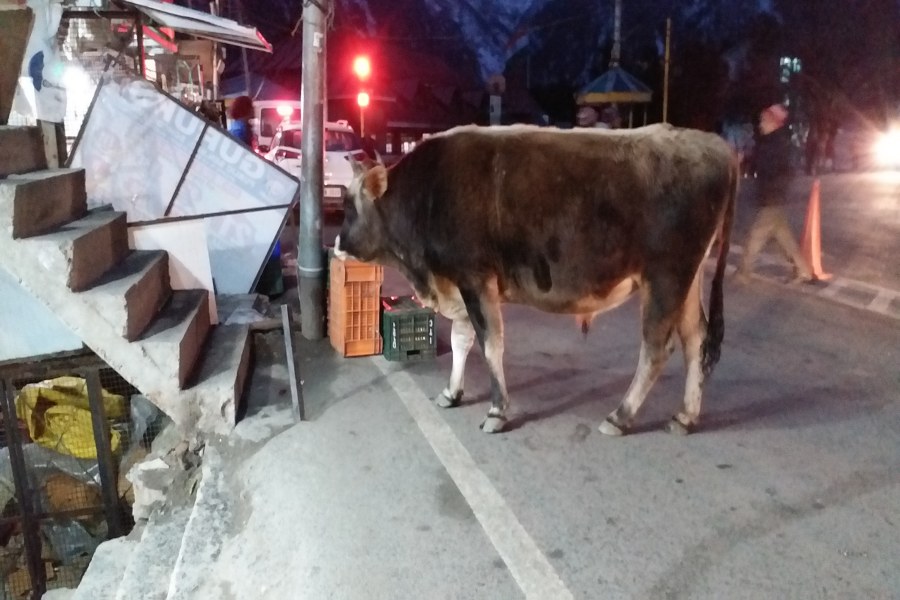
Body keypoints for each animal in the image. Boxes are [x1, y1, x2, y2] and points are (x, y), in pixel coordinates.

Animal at [334, 124, 736, 436]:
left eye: (350, 207)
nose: (337, 243)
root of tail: (716, 147)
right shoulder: (459, 283)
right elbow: (463, 340)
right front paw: (452, 392)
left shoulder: (475, 277)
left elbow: (490, 344)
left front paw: (497, 411)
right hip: (688, 277)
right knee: (695, 339)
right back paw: (685, 416)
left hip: (666, 275)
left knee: (656, 348)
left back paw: (620, 417)